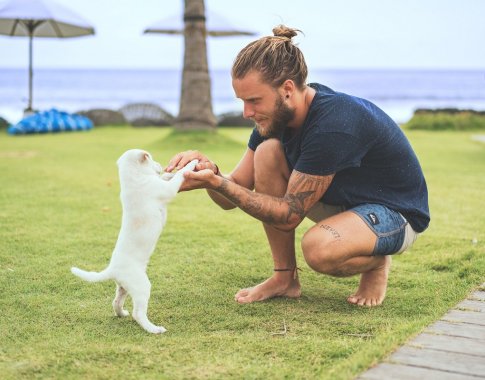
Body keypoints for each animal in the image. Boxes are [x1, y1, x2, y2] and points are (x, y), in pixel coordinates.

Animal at [72, 150, 197, 334]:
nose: (161, 165)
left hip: (123, 287)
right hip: (142, 287)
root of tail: (112, 269)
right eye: (151, 158)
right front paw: (191, 164)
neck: (133, 178)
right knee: (138, 313)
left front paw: (170, 172)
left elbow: (166, 177)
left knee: (116, 302)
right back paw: (154, 329)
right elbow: (179, 176)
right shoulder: (166, 190)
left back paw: (121, 313)